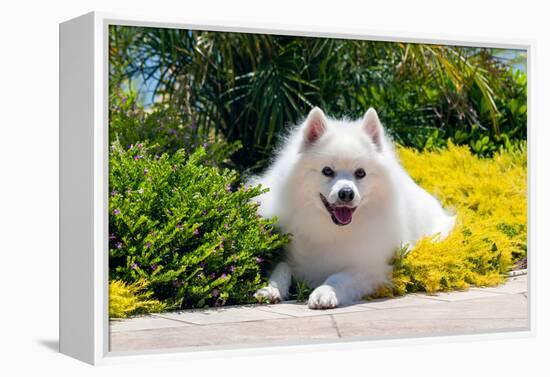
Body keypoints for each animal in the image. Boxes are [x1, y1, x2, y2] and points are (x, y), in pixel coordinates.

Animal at [251, 106, 458, 308]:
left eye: (360, 173)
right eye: (327, 171)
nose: (346, 193)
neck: (332, 230)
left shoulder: (369, 267)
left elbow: (339, 277)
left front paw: (325, 292)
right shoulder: (289, 256)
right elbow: (281, 268)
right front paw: (270, 289)